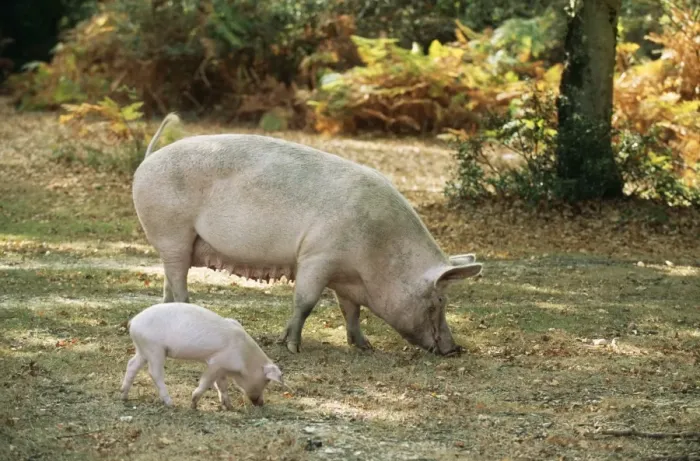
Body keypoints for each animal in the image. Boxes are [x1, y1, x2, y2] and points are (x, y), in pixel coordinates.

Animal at [120, 302, 284, 408]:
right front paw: (193, 404)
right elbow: (207, 381)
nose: (261, 403)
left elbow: (221, 385)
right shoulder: (216, 363)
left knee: (131, 364)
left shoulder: (222, 367)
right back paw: (171, 404)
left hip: (143, 349)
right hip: (155, 349)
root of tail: (133, 322)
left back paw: (123, 396)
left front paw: (229, 406)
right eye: (267, 381)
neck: (244, 356)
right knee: (154, 373)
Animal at [132, 114, 483, 356]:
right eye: (437, 302)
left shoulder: (346, 277)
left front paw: (364, 346)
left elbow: (351, 311)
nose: (454, 349)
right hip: (173, 232)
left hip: (176, 244)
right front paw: (291, 347)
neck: (378, 256)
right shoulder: (319, 256)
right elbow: (305, 301)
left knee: (168, 284)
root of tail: (147, 160)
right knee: (179, 286)